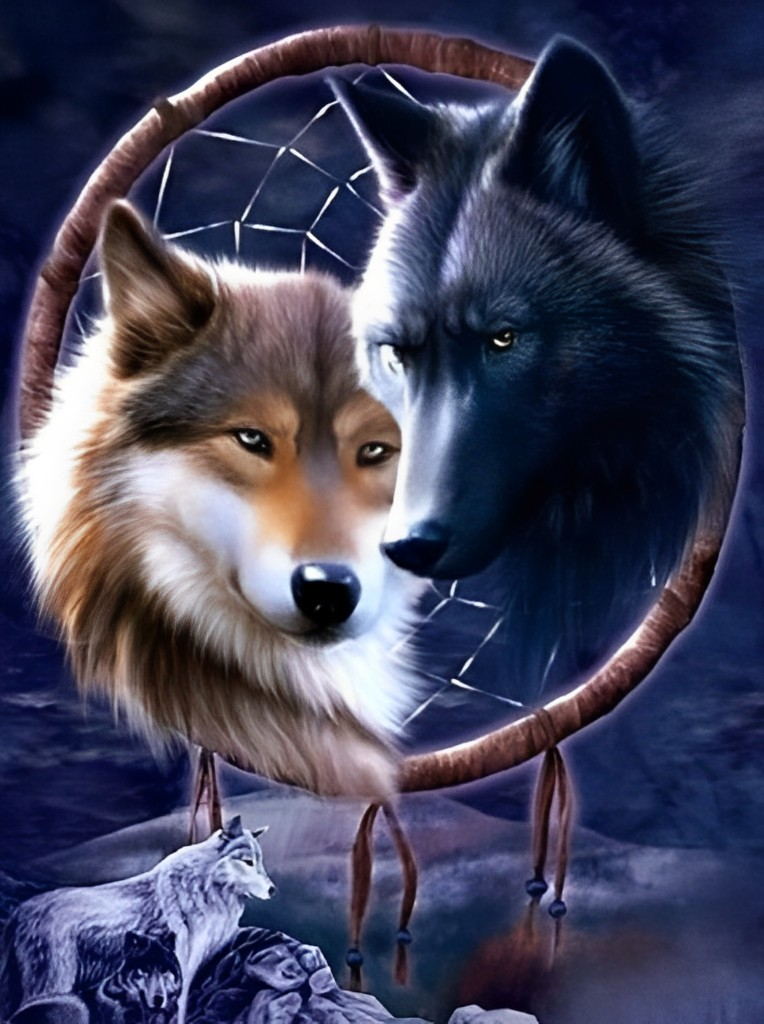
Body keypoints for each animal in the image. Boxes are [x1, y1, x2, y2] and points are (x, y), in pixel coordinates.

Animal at [0, 818, 271, 1021]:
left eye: (260, 861)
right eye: (248, 862)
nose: (273, 890)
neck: (203, 886)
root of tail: (20, 911)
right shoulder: (182, 968)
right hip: (55, 983)